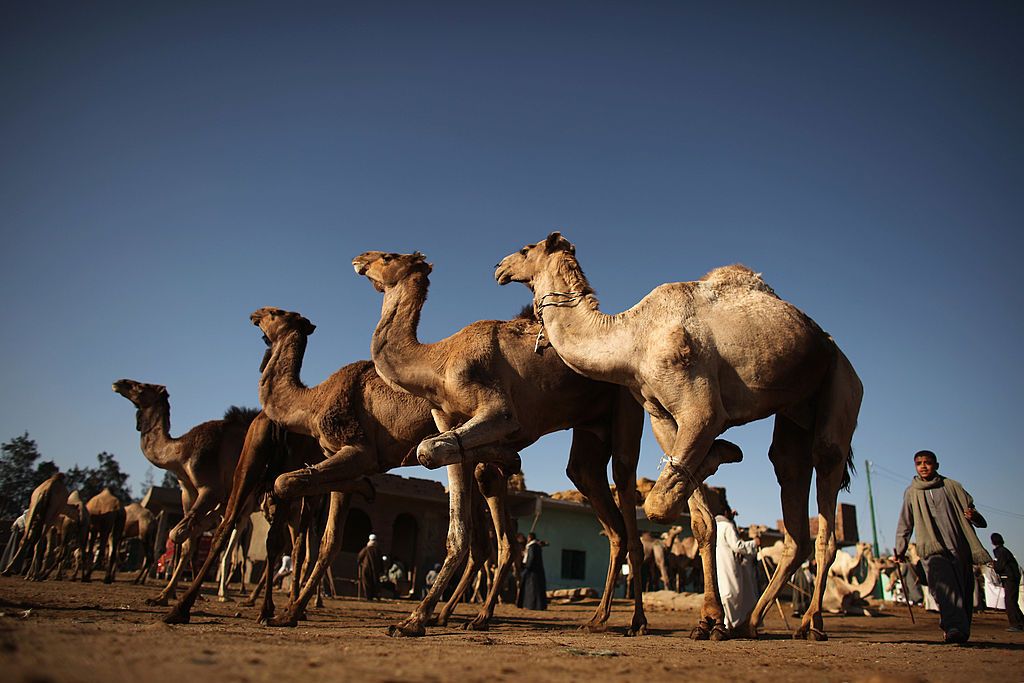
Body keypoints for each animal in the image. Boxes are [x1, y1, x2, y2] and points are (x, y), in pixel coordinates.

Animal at [112, 382, 260, 606]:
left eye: (141, 387)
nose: (119, 383)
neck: (181, 452)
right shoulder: (188, 492)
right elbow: (187, 543)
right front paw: (165, 594)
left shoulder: (210, 489)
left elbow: (177, 533)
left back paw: (226, 593)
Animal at [356, 250, 749, 643]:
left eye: (388, 257)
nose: (360, 260)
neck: (439, 361)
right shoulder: (448, 422)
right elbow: (455, 513)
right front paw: (415, 619)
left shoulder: (497, 407)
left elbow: (435, 451)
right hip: (590, 435)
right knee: (604, 510)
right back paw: (597, 618)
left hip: (629, 407)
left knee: (629, 500)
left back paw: (639, 621)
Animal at [491, 233, 860, 643]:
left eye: (526, 249)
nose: (499, 267)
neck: (631, 339)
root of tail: (828, 342)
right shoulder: (663, 419)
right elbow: (698, 520)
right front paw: (709, 622)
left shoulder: (700, 410)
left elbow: (659, 504)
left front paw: (723, 451)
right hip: (795, 412)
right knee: (790, 487)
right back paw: (750, 622)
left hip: (842, 382)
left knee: (826, 486)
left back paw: (812, 622)